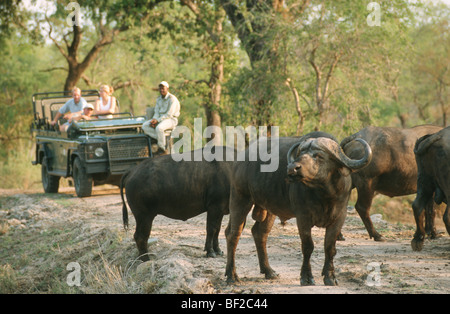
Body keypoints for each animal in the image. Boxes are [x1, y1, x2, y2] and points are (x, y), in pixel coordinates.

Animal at [225, 131, 372, 286]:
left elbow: (330, 247)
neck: (325, 195)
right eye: (300, 153)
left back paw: (269, 271)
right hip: (240, 198)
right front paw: (306, 277)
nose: (292, 168)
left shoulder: (339, 217)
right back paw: (232, 276)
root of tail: (241, 159)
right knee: (233, 234)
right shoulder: (303, 217)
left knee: (260, 233)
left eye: (319, 156)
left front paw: (330, 277)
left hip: (269, 209)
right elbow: (308, 246)